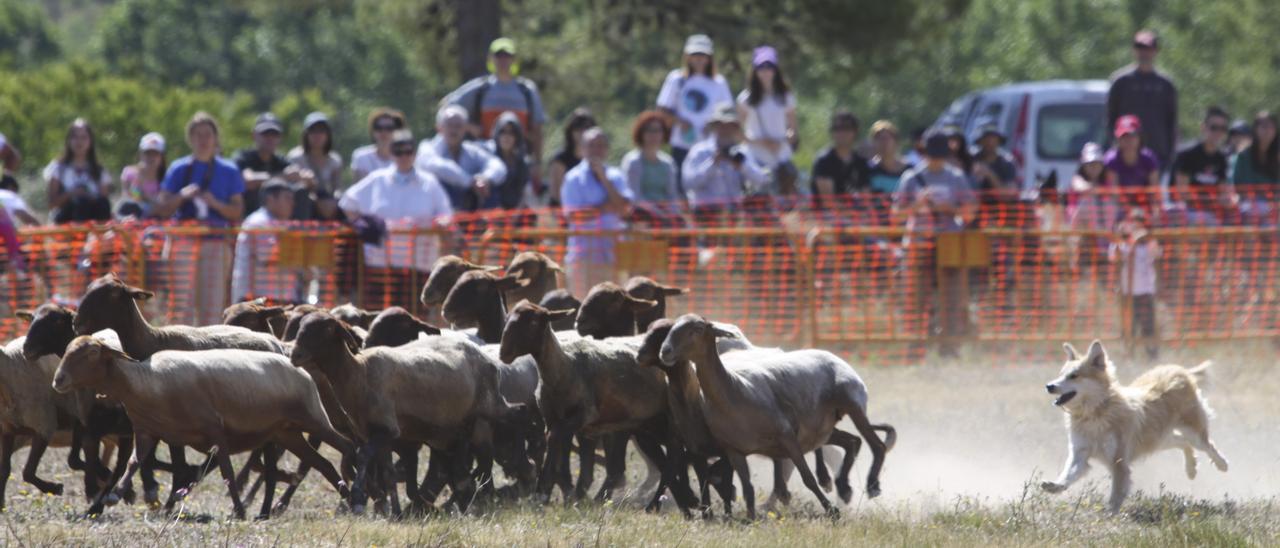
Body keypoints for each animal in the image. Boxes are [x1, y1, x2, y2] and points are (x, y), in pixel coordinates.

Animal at [53, 335, 355, 519]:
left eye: (92, 352)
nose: (58, 380)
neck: (146, 383)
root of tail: (301, 369)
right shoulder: (147, 432)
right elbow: (134, 463)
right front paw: (115, 495)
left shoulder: (215, 430)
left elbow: (227, 472)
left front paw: (238, 510)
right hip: (286, 431)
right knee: (323, 464)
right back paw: (349, 497)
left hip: (311, 417)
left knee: (347, 446)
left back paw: (356, 496)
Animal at [290, 312, 509, 514]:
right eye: (300, 326)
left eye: (327, 328)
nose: (295, 355)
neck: (359, 374)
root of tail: (485, 357)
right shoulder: (377, 434)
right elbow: (388, 474)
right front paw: (393, 512)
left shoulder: (386, 428)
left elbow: (363, 457)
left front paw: (359, 497)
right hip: (449, 431)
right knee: (459, 467)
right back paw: (462, 500)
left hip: (478, 420)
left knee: (479, 463)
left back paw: (469, 500)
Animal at [494, 302, 696, 512]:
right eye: (507, 320)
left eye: (533, 322)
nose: (504, 353)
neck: (564, 368)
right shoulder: (554, 419)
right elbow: (559, 449)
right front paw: (557, 493)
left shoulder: (583, 415)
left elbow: (554, 438)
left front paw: (544, 490)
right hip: (646, 427)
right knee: (665, 462)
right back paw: (685, 498)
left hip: (666, 422)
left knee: (670, 459)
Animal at [660, 314, 901, 519]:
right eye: (671, 328)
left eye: (697, 329)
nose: (665, 351)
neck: (733, 389)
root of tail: (830, 354)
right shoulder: (734, 450)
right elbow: (747, 487)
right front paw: (750, 519)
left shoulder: (787, 435)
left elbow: (808, 478)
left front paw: (832, 511)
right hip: (822, 426)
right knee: (852, 441)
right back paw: (844, 486)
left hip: (851, 402)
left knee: (876, 444)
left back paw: (871, 485)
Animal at [1039, 340, 1228, 512]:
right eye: (1060, 374)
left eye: (1074, 375)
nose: (1049, 386)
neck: (1096, 412)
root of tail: (1179, 370)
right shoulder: (1080, 454)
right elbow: (1068, 475)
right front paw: (1055, 486)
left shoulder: (1119, 462)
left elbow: (1116, 494)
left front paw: (1110, 515)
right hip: (1159, 439)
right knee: (1183, 443)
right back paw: (1191, 469)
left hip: (1191, 433)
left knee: (1207, 445)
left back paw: (1222, 465)